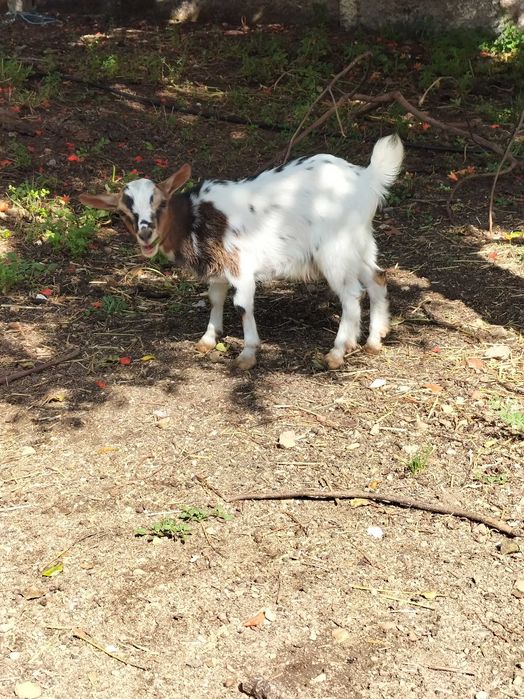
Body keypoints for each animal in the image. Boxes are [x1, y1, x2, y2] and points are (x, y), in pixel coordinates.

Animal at [79, 134, 404, 370]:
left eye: (160, 204)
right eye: (124, 213)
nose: (145, 233)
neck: (195, 217)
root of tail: (366, 179)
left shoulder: (239, 265)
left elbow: (242, 305)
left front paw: (247, 354)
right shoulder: (217, 267)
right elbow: (215, 298)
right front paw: (209, 338)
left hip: (333, 249)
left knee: (351, 294)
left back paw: (337, 352)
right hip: (358, 243)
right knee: (377, 278)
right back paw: (373, 340)